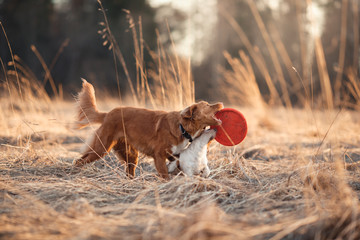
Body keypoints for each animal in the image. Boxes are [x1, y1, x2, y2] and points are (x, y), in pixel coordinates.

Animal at [73, 79, 222, 179]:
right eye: (207, 105)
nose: (220, 103)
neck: (182, 128)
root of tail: (107, 114)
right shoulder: (159, 156)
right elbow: (165, 175)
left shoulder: (173, 155)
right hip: (101, 148)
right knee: (79, 160)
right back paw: (74, 173)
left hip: (131, 155)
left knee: (129, 171)